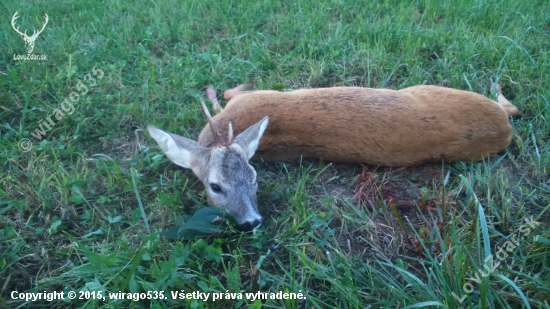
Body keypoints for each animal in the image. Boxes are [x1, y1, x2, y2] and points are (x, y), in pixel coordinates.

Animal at [149, 81, 520, 229]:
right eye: (215, 187)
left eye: (254, 179)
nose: (251, 221)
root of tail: (502, 129)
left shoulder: (249, 99)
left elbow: (230, 91)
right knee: (512, 108)